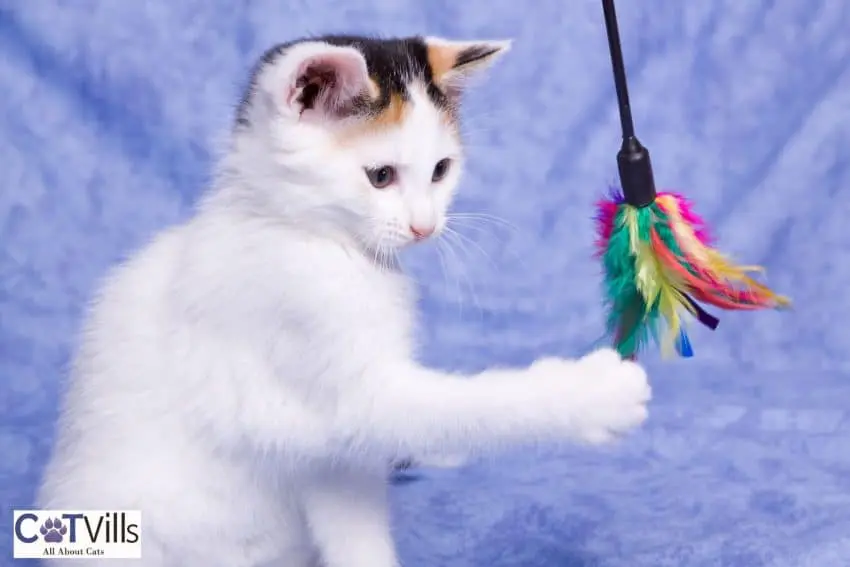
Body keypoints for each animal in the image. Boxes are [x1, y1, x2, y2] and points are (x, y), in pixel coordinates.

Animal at [38, 35, 648, 567]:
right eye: (380, 176)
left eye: (441, 170)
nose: (425, 226)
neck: (304, 235)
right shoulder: (339, 386)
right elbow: (464, 406)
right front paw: (593, 394)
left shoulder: (327, 458)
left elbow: (355, 515)